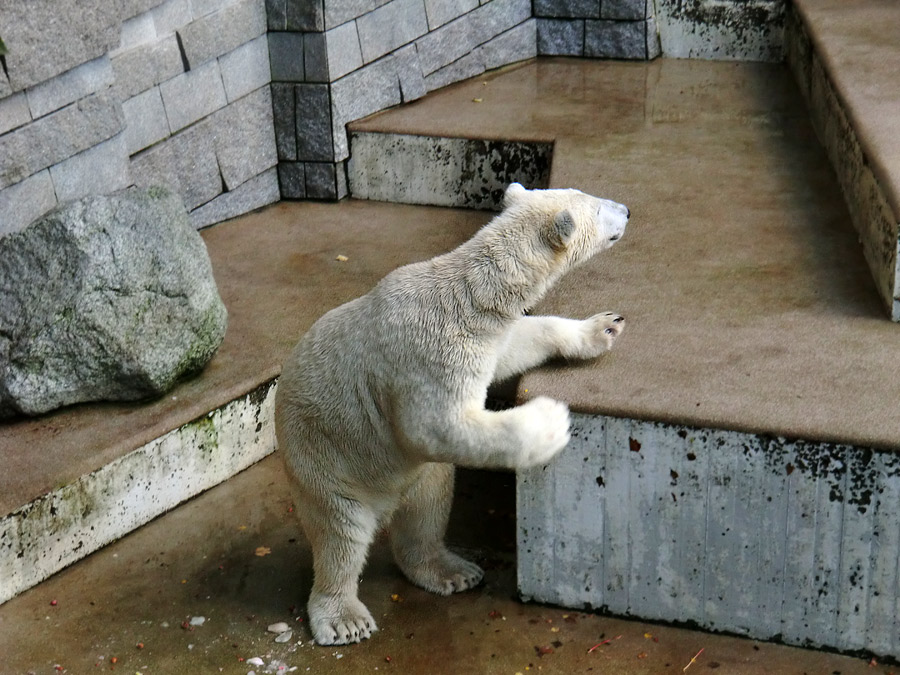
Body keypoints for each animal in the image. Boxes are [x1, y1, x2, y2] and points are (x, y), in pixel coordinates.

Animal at [278, 182, 628, 648]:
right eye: (597, 206)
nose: (626, 209)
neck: (468, 294)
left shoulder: (484, 338)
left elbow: (517, 344)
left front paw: (603, 327)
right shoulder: (431, 349)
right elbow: (436, 427)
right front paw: (551, 422)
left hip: (413, 473)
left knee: (428, 505)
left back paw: (451, 571)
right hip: (324, 458)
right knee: (341, 532)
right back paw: (343, 618)